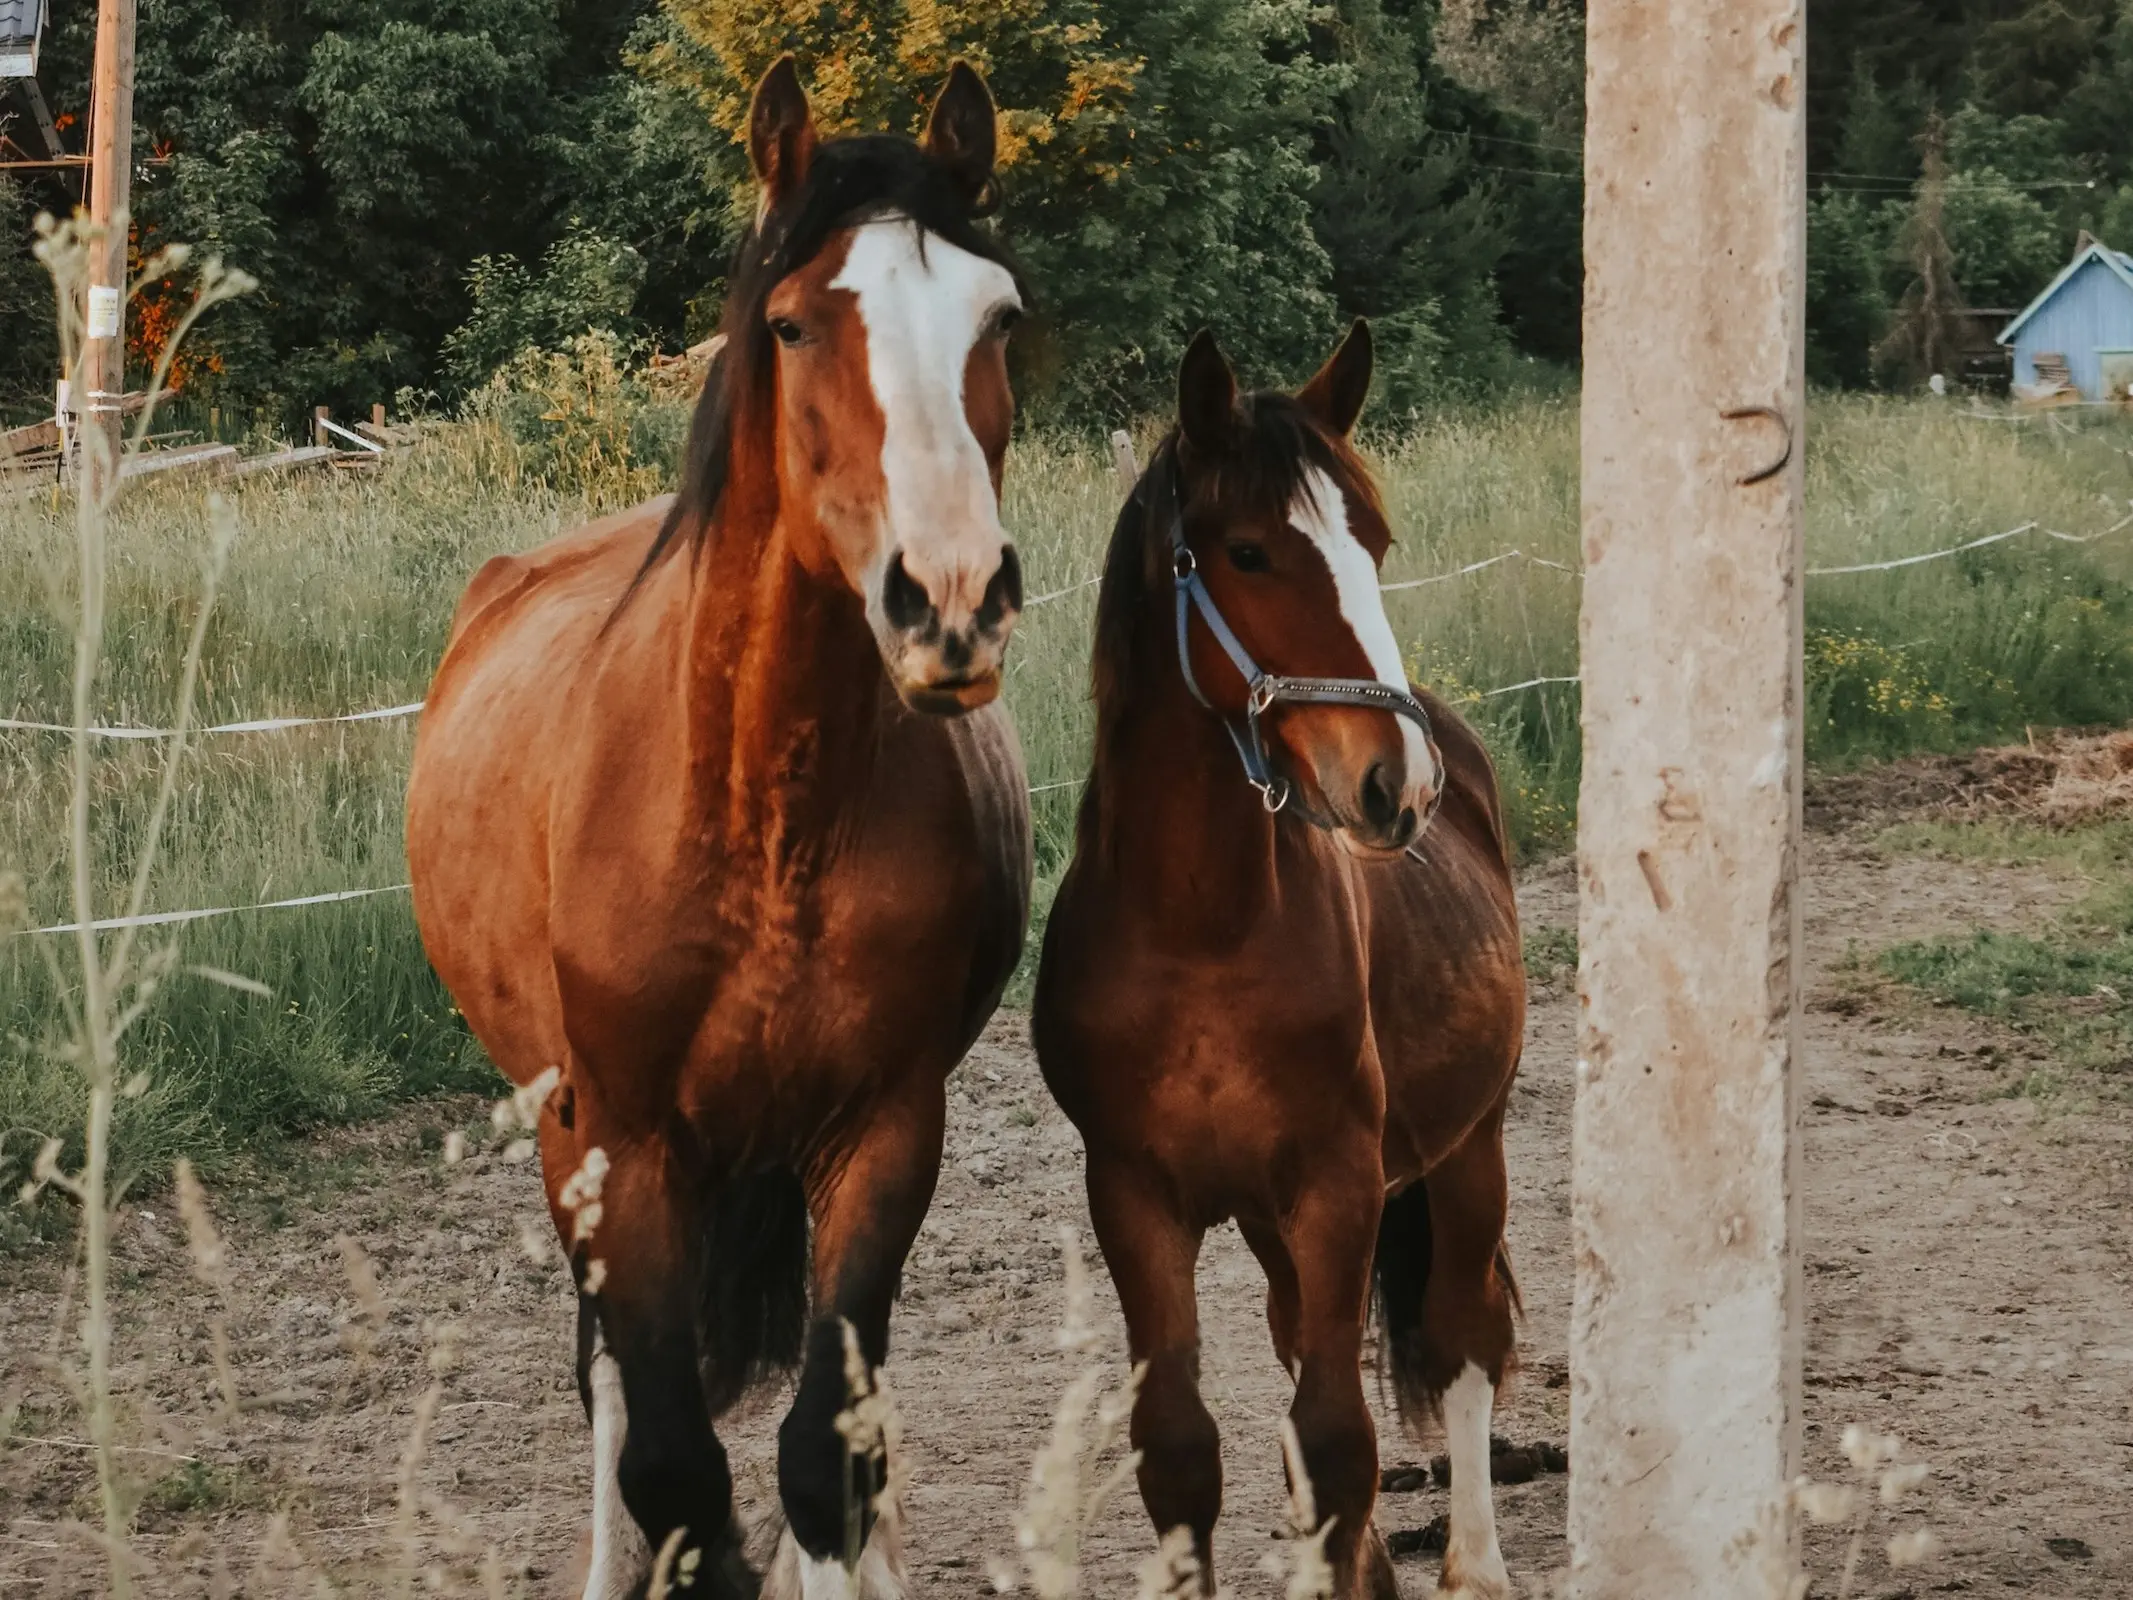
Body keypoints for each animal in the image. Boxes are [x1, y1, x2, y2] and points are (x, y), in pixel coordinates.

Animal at [405, 56, 1032, 1600]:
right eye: (795, 322)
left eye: (997, 318)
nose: (951, 599)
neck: (763, 817)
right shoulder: (627, 1148)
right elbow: (672, 1463)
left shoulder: (883, 1136)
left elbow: (822, 1454)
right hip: (569, 1139)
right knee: (611, 1392)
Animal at [1036, 328, 1527, 1600]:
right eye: (1248, 551)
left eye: (1376, 542)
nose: (1397, 781)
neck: (1200, 930)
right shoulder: (1137, 1197)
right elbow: (1186, 1451)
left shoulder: (1336, 1181)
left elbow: (1341, 1433)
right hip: (1269, 1222)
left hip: (1469, 1149)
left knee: (1465, 1340)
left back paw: (1472, 1563)